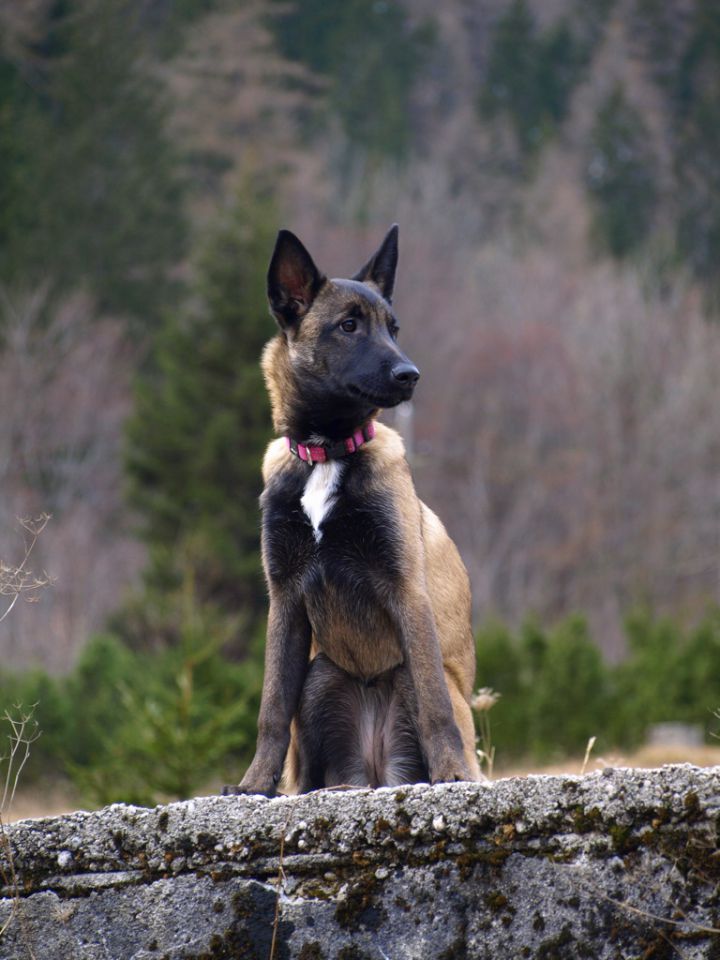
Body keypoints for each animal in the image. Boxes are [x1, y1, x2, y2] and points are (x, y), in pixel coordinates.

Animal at [225, 225, 480, 796]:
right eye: (348, 325)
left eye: (393, 328)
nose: (411, 375)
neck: (328, 451)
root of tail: (376, 774)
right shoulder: (285, 598)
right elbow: (271, 708)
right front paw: (254, 784)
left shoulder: (407, 591)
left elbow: (435, 705)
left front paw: (451, 773)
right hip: (320, 676)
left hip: (401, 669)